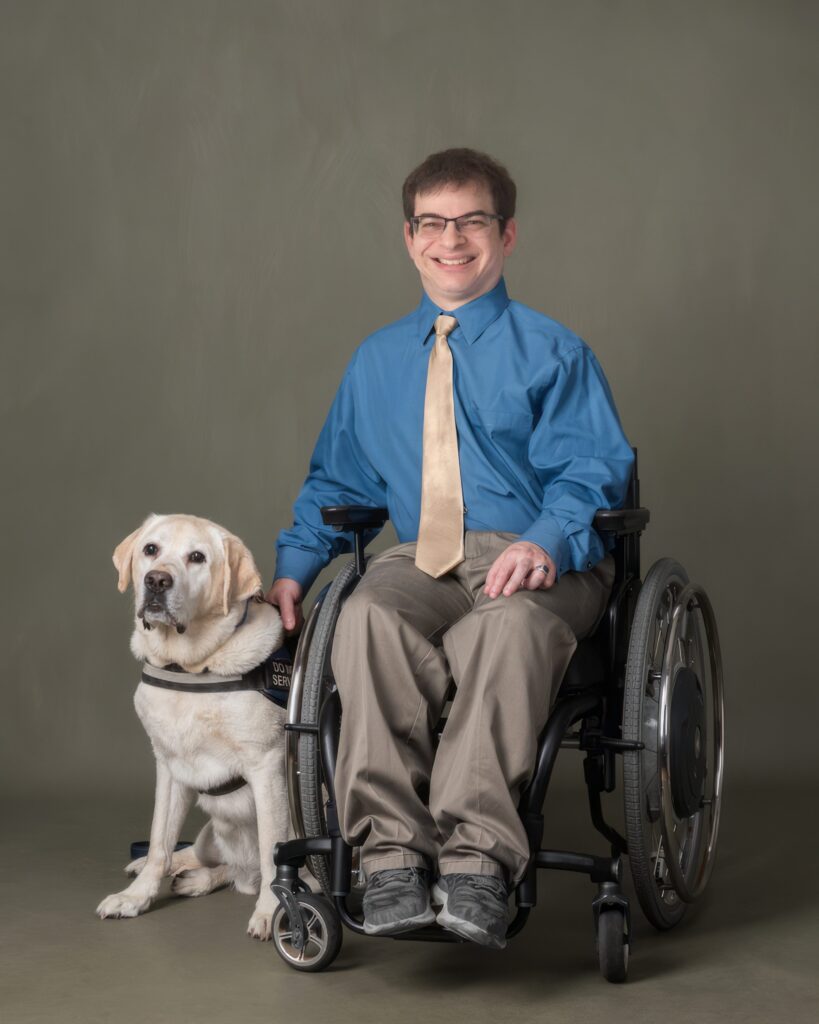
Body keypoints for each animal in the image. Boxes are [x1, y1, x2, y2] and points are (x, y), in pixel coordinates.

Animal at [97, 516, 292, 937]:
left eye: (197, 557)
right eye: (150, 549)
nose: (156, 580)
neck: (189, 667)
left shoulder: (267, 767)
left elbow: (274, 853)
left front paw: (273, 910)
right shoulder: (169, 767)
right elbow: (159, 842)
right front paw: (137, 896)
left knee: (255, 872)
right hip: (210, 836)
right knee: (203, 858)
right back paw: (183, 872)